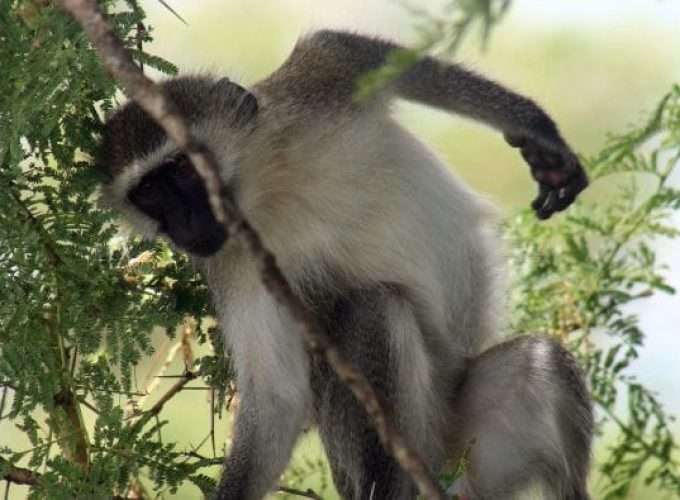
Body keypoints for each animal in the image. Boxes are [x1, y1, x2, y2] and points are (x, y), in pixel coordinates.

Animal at [98, 31, 592, 500]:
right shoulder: (232, 264)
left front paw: (536, 130)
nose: (182, 226)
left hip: (475, 445)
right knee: (374, 308)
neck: (267, 190)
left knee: (541, 361)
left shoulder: (319, 84)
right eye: (148, 194)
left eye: (181, 168)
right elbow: (277, 396)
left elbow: (361, 53)